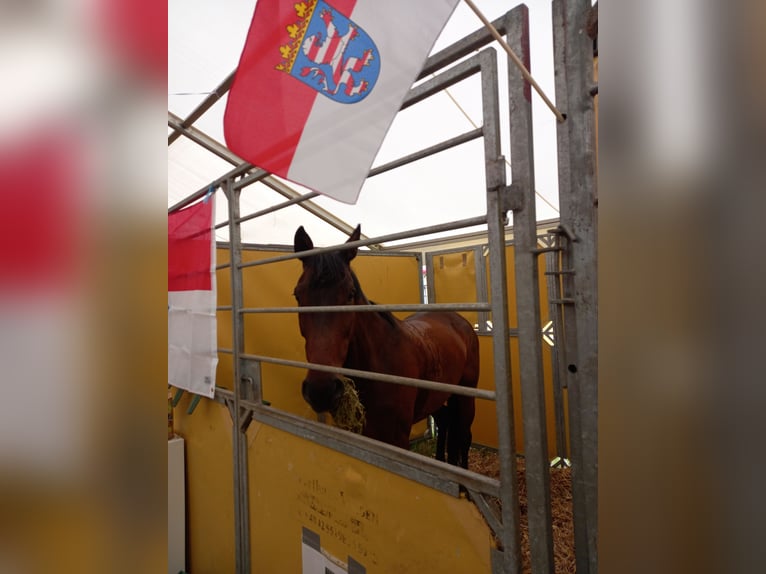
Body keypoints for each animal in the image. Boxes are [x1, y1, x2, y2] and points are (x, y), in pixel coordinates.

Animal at [294, 225, 480, 468]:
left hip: (466, 395)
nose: (321, 390)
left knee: (464, 436)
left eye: (350, 294)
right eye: (298, 295)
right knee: (446, 422)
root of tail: (459, 320)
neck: (378, 364)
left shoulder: (397, 439)